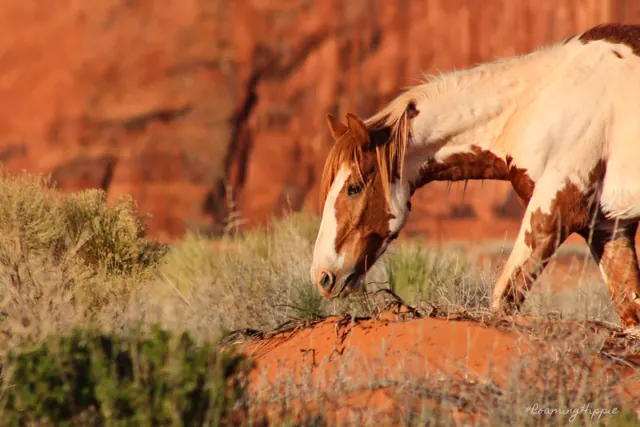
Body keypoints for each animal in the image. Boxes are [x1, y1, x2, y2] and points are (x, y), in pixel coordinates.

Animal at [309, 23, 640, 328]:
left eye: (353, 187)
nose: (322, 276)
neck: (543, 106)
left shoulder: (554, 214)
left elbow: (503, 299)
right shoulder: (608, 228)